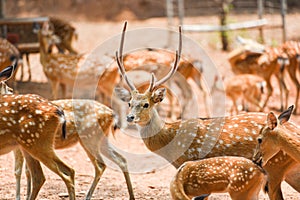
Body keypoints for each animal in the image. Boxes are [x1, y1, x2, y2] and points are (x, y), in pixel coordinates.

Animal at [0, 67, 76, 198]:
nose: (10, 91)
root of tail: (58, 111)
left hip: (38, 143)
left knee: (66, 172)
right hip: (30, 145)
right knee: (41, 175)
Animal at [113, 21, 300, 200]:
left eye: (146, 104)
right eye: (129, 103)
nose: (130, 117)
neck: (171, 145)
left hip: (274, 167)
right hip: (290, 171)